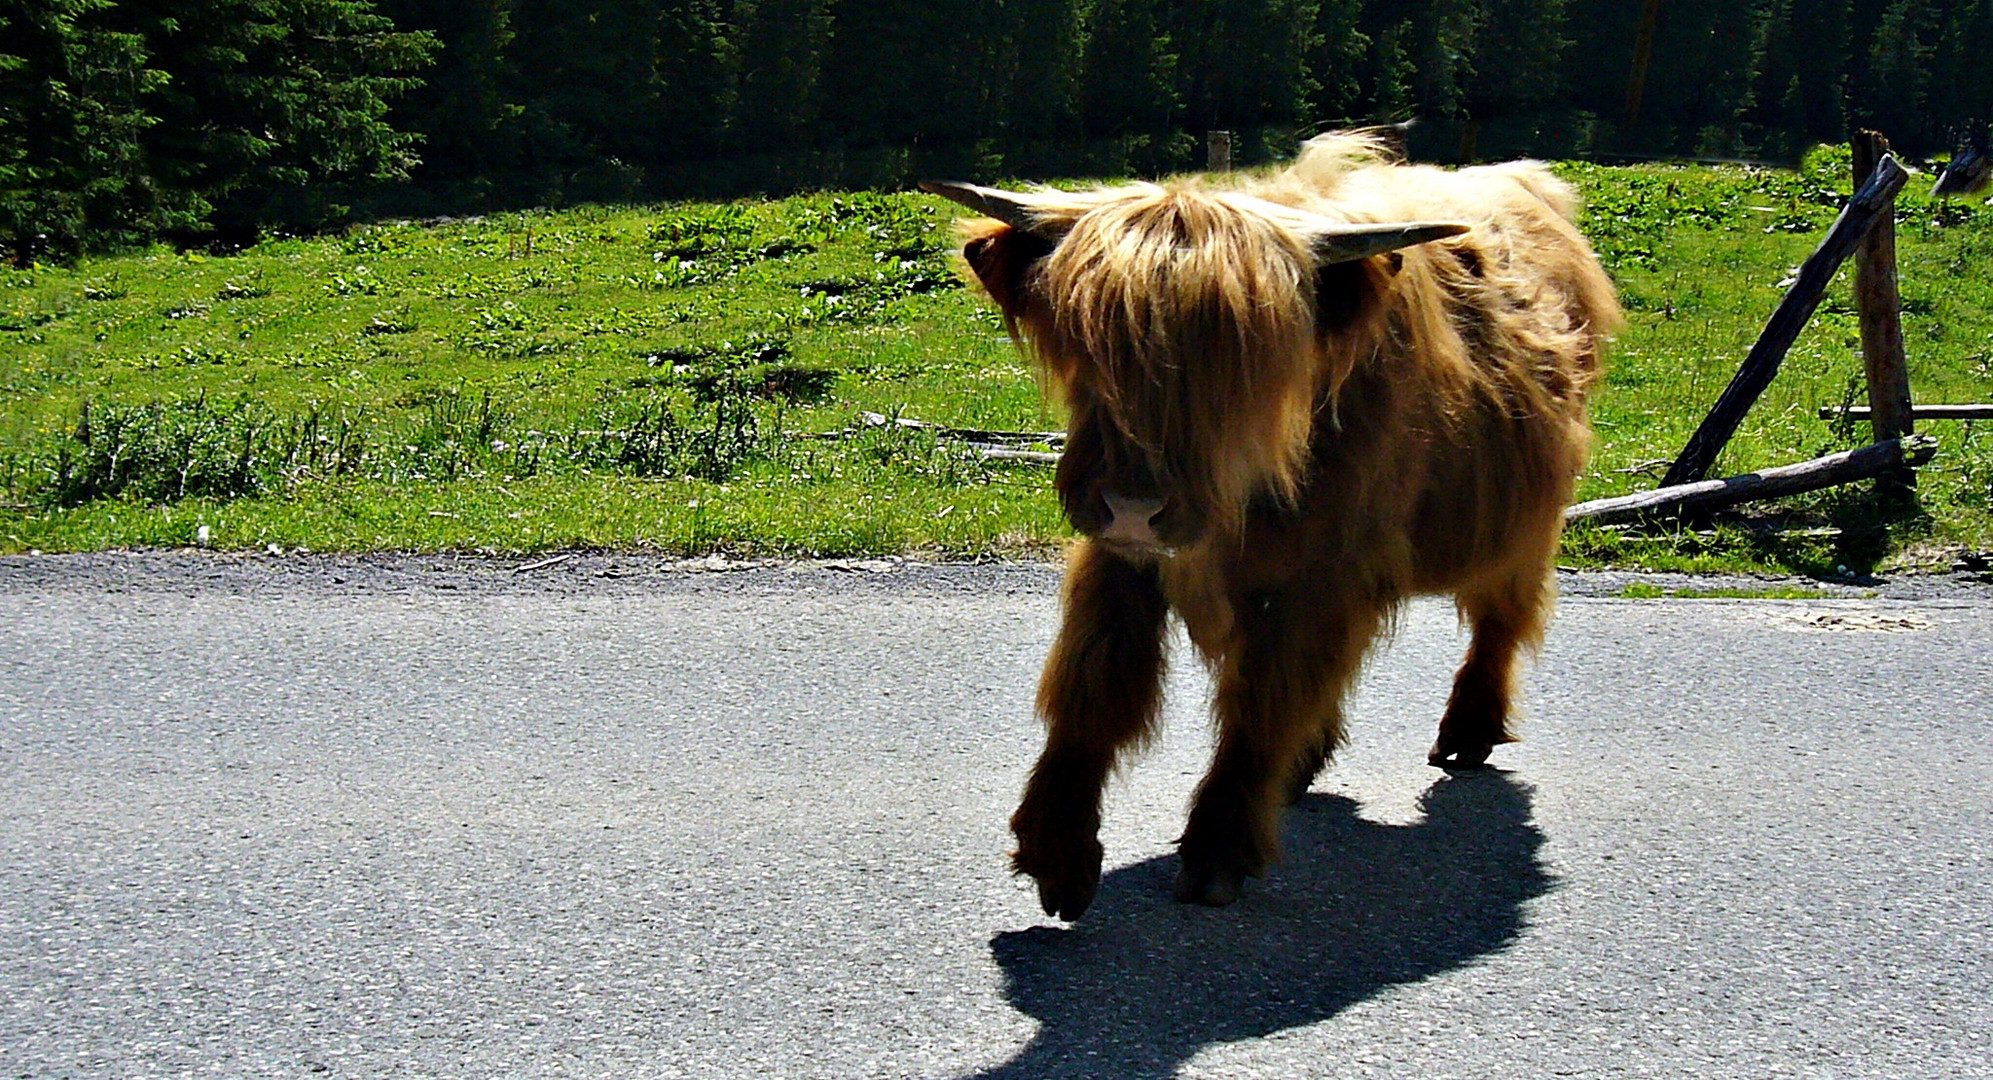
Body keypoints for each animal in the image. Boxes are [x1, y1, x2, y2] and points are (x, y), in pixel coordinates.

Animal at [924, 131, 1626, 920]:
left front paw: (1218, 853)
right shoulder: (1120, 560)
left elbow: (1263, 704)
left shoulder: (1320, 574)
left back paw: (1466, 731)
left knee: (1500, 614)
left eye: (1241, 366)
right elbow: (1093, 688)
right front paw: (1058, 855)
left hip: (1522, 519)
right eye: (1089, 348)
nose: (1133, 504)